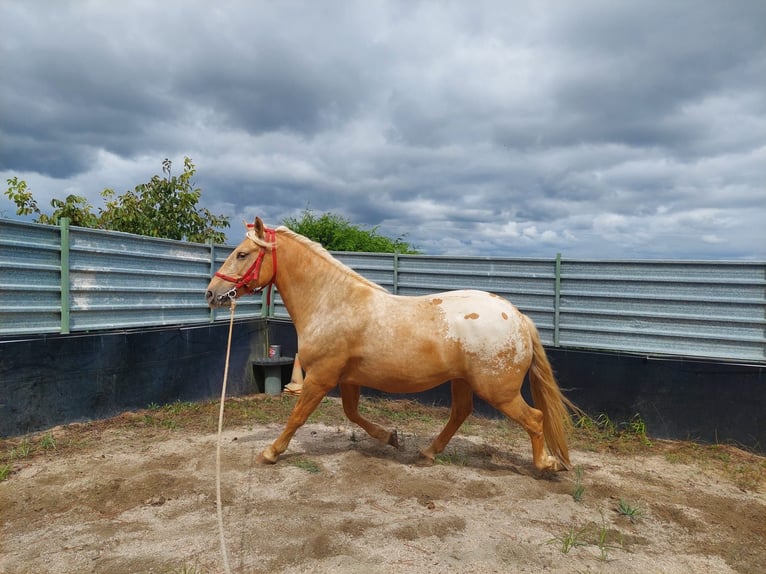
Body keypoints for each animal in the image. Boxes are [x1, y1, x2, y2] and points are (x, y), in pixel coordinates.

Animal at [207, 218, 580, 474]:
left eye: (242, 254)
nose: (212, 293)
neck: (332, 302)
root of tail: (517, 316)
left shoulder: (321, 378)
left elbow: (297, 416)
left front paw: (270, 452)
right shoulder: (348, 380)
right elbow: (352, 414)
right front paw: (390, 437)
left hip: (498, 391)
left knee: (534, 418)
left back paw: (547, 464)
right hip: (462, 382)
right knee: (461, 413)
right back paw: (428, 452)